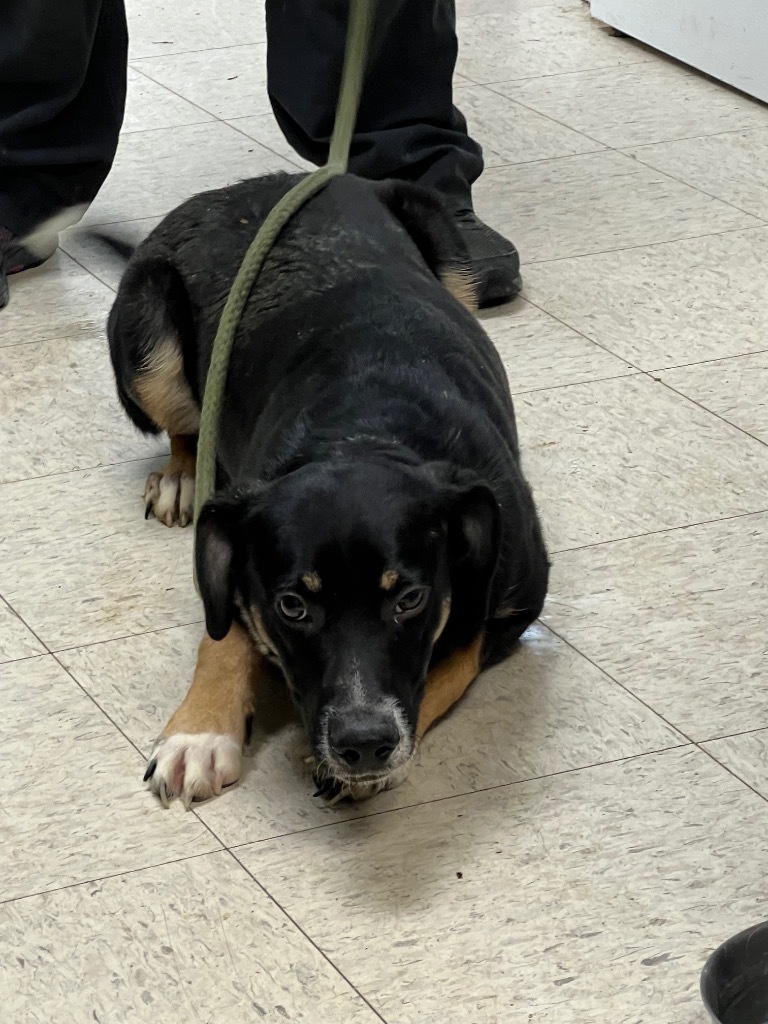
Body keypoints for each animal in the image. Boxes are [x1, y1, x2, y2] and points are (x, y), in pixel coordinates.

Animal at [105, 169, 548, 806]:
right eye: (293, 606)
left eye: (409, 599)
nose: (363, 745)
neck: (362, 430)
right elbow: (223, 633)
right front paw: (201, 731)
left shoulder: (514, 599)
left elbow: (457, 652)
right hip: (148, 325)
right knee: (185, 422)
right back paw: (183, 474)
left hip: (450, 249)